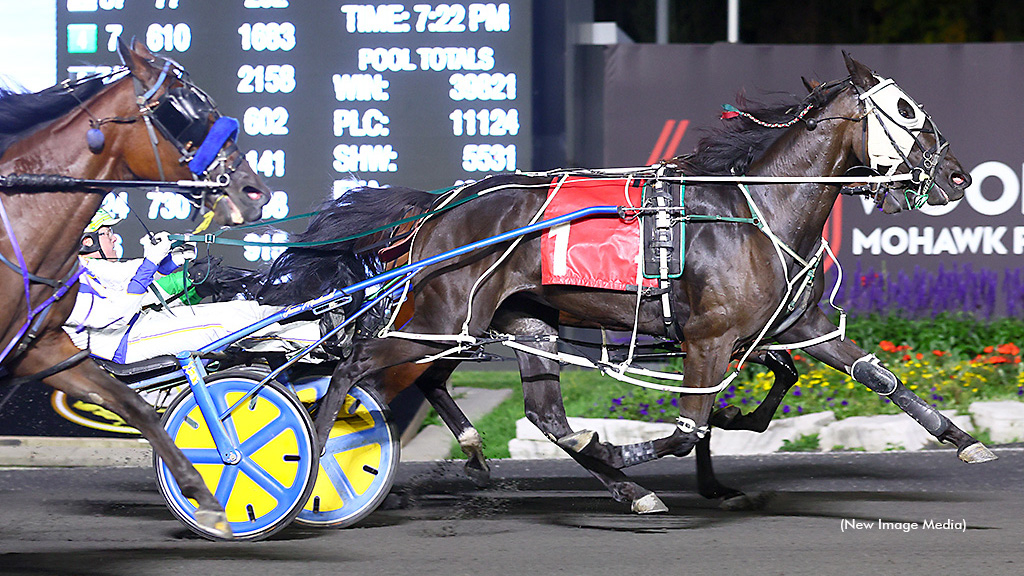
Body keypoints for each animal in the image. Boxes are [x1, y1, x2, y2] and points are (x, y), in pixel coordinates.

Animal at [270, 52, 983, 510]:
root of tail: (441, 207)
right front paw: (630, 452)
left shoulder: (794, 324)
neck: (757, 209)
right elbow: (689, 427)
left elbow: (873, 376)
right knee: (355, 366)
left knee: (531, 410)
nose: (958, 174)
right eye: (905, 109)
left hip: (510, 322)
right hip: (442, 317)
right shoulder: (708, 337)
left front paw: (963, 440)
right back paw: (311, 472)